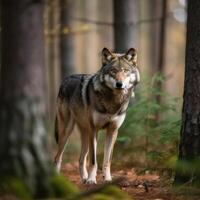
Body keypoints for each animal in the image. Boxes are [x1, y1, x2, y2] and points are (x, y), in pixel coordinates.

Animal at [54, 47, 140, 184]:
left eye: (125, 71)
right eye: (113, 71)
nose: (119, 84)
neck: (113, 101)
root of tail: (66, 79)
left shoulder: (113, 131)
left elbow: (107, 160)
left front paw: (108, 179)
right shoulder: (94, 130)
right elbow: (93, 161)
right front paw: (91, 180)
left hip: (85, 133)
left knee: (81, 158)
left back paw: (83, 178)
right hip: (66, 132)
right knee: (57, 157)